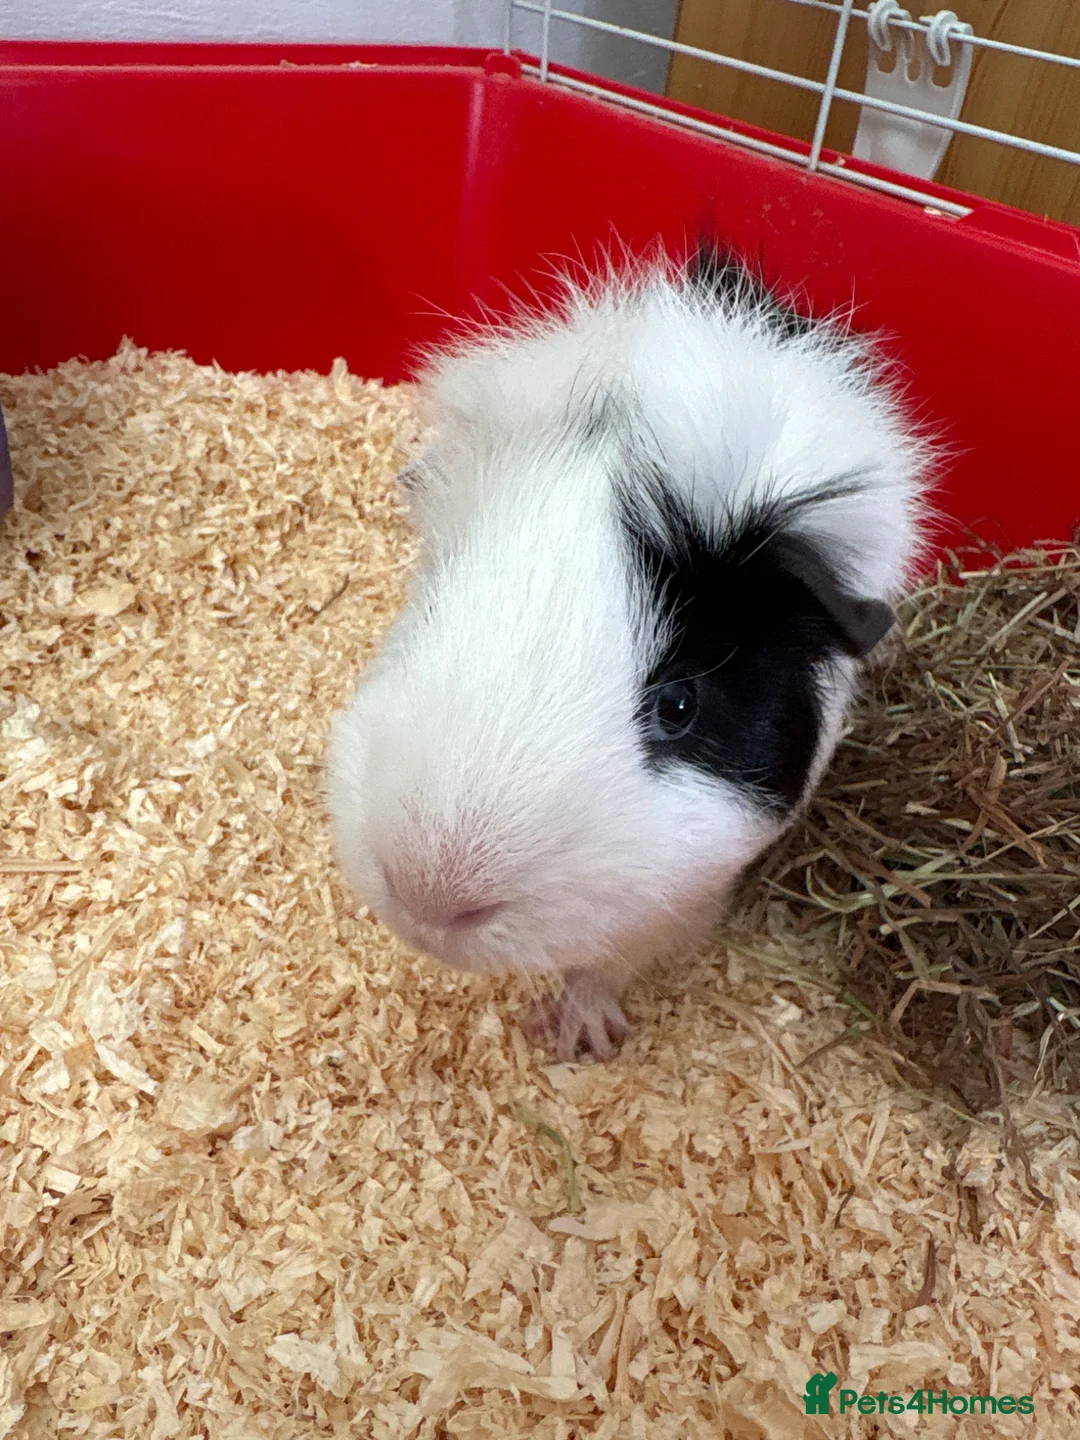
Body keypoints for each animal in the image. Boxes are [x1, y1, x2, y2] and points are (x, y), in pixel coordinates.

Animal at [327, 247, 931, 1062]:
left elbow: (609, 962)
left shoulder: (684, 892)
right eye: (429, 614)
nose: (432, 895)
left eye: (677, 703)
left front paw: (577, 1038)